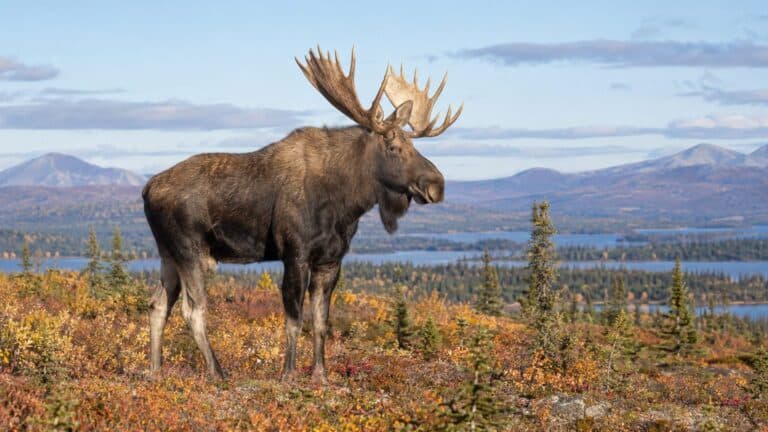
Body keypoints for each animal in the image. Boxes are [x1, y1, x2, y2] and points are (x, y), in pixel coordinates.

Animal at [142, 47, 462, 382]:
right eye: (392, 146)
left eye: (412, 143)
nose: (437, 185)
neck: (346, 204)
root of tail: (147, 189)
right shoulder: (295, 254)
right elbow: (294, 320)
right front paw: (288, 374)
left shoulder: (330, 260)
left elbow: (321, 322)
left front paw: (320, 375)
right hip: (190, 250)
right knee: (193, 310)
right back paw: (217, 372)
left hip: (167, 252)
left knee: (157, 304)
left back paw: (155, 370)